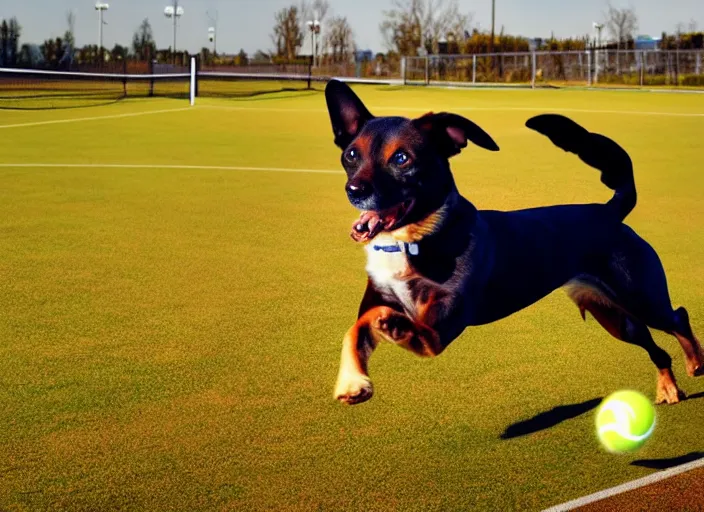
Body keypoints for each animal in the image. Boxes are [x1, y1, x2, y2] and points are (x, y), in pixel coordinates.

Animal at [326, 78, 704, 406]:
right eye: (351, 155)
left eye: (402, 158)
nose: (354, 190)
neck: (412, 240)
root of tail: (610, 211)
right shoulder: (377, 301)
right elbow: (355, 329)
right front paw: (352, 382)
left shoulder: (444, 324)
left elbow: (408, 327)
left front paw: (394, 327)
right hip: (615, 316)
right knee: (657, 347)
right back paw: (670, 388)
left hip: (641, 297)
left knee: (679, 317)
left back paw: (695, 363)